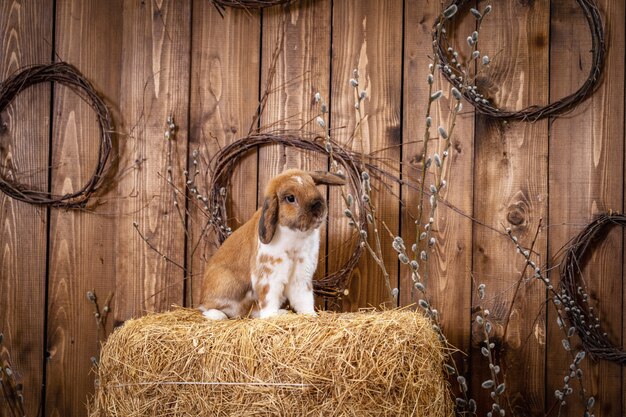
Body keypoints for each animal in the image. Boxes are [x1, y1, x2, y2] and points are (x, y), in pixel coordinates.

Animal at [197, 168, 346, 318]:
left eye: (314, 186)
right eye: (290, 198)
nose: (319, 208)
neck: (296, 236)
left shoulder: (302, 275)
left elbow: (304, 299)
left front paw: (310, 315)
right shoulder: (268, 276)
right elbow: (268, 298)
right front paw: (271, 317)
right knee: (210, 308)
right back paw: (217, 315)